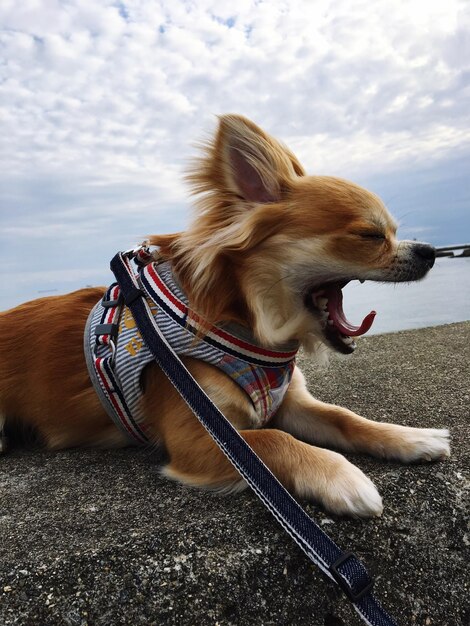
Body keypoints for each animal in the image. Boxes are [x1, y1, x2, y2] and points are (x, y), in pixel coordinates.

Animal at [0, 114, 450, 516]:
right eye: (370, 235)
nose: (430, 251)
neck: (249, 326)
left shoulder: (289, 404)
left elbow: (343, 417)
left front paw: (411, 438)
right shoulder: (206, 437)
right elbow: (272, 441)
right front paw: (342, 478)